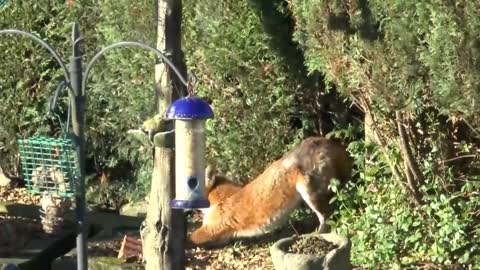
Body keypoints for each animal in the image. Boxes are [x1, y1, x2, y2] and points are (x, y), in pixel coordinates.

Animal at [190, 137, 352, 247]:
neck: (219, 199)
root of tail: (325, 141)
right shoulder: (223, 236)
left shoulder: (211, 229)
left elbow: (190, 238)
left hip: (309, 193)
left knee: (327, 219)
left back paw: (312, 236)